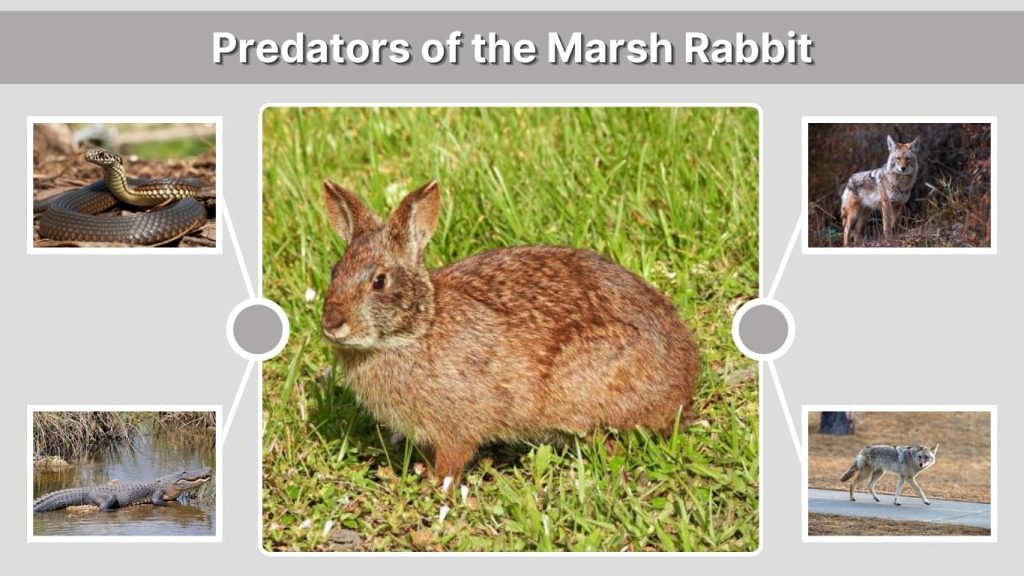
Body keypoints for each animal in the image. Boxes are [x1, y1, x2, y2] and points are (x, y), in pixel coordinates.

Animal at [321, 179, 699, 481]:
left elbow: (453, 459)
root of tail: (682, 386)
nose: (332, 324)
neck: (417, 330)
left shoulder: (457, 425)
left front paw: (432, 483)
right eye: (335, 270)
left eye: (379, 281)